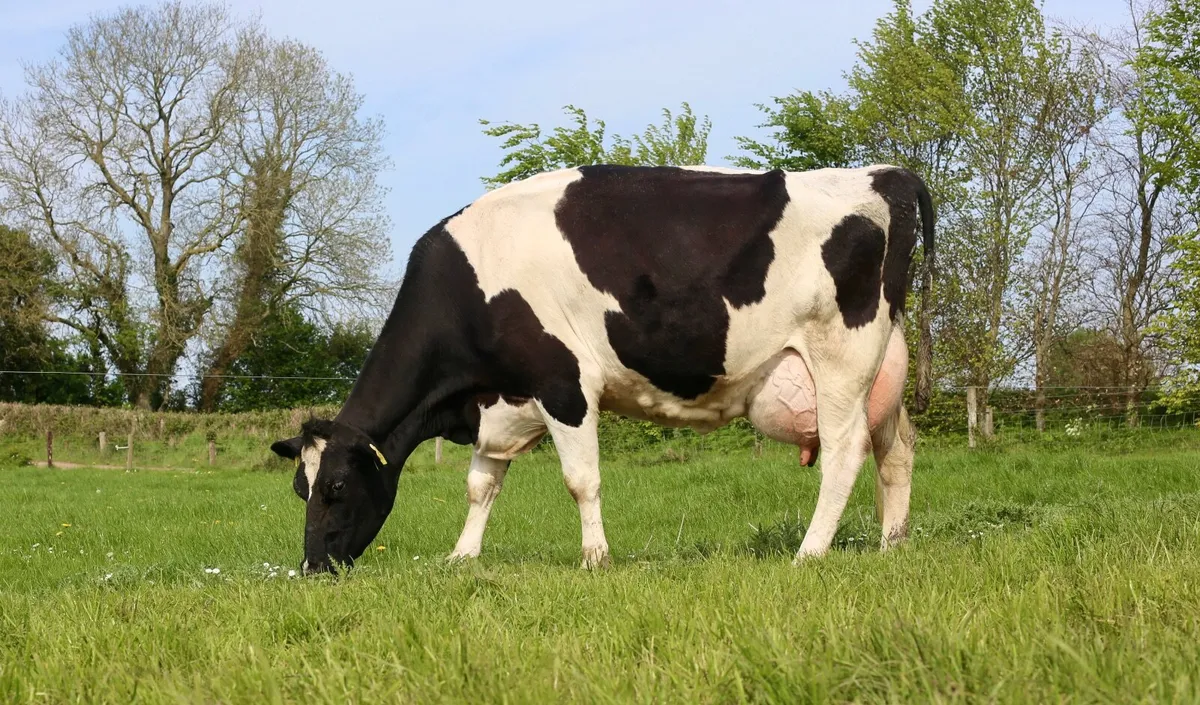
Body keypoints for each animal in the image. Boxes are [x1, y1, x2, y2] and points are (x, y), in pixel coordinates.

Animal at [270, 164, 934, 575]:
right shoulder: (503, 403)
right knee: (897, 449)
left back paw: (810, 553)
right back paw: (892, 546)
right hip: (883, 371)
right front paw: (461, 558)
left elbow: (580, 480)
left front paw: (595, 558)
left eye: (335, 488)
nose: (314, 567)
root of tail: (885, 174)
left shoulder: (563, 382)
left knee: (845, 453)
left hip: (840, 360)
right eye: (300, 488)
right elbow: (481, 484)